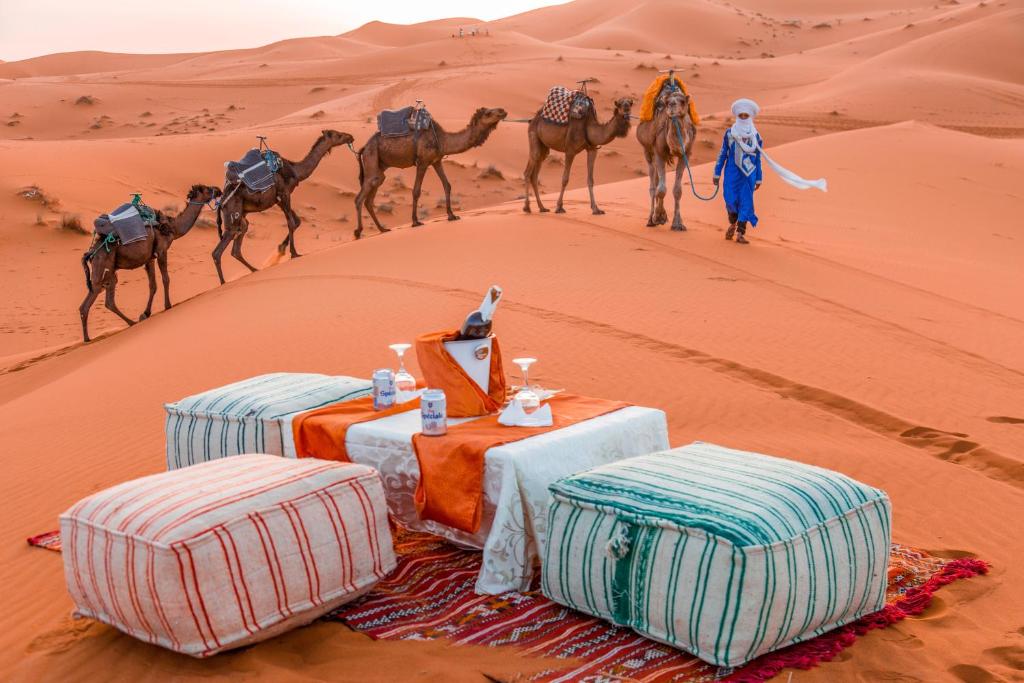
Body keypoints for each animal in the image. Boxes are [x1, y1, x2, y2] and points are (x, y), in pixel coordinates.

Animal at [80, 183, 222, 342]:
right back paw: (87, 339)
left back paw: (131, 323)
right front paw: (167, 305)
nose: (218, 190)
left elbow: (152, 285)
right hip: (101, 270)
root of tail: (91, 253)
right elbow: (166, 279)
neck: (172, 227)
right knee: (86, 305)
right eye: (207, 189)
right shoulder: (161, 250)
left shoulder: (149, 258)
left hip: (110, 273)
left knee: (108, 301)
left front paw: (145, 313)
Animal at [212, 129, 356, 284]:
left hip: (241, 218)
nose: (350, 136)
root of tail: (221, 203)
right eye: (338, 135)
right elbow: (291, 222)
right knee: (217, 252)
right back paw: (223, 282)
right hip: (232, 216)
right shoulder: (284, 193)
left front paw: (281, 249)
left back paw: (254, 270)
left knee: (236, 248)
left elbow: (297, 221)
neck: (295, 170)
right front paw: (294, 253)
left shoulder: (279, 199)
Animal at [354, 104, 509, 237]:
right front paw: (415, 221)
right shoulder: (422, 162)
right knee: (360, 198)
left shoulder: (436, 161)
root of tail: (364, 147)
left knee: (370, 197)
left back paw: (382, 229)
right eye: (488, 113)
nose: (503, 111)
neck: (442, 139)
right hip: (371, 159)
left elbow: (447, 185)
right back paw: (358, 232)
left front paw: (452, 215)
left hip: (379, 168)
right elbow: (416, 191)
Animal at [634, 88, 700, 231]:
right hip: (648, 152)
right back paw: (651, 219)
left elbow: (677, 190)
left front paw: (678, 223)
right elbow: (661, 189)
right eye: (667, 102)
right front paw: (658, 217)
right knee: (653, 186)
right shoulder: (659, 153)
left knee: (657, 181)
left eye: (682, 101)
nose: (671, 105)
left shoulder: (685, 154)